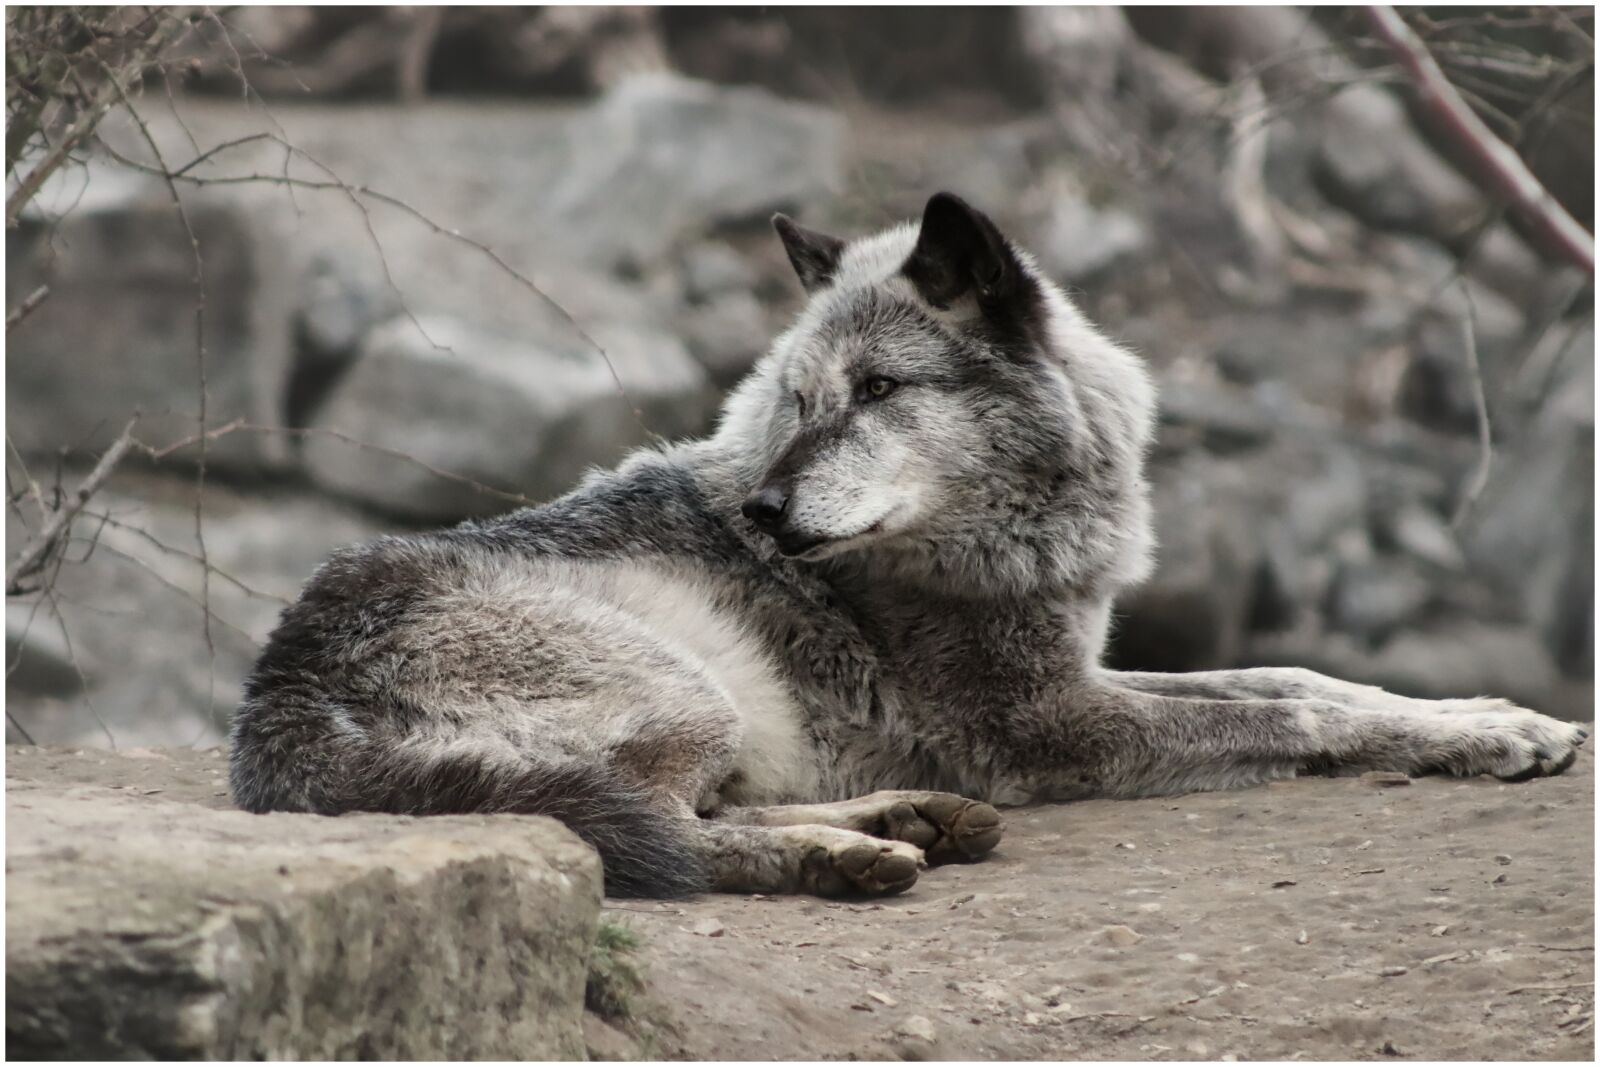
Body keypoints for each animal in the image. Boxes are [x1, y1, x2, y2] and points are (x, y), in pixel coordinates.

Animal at [230, 192, 1588, 898]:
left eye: (879, 389)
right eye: (797, 399)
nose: (764, 515)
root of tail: (275, 700)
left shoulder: (1073, 668)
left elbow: (1300, 672)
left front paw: (1495, 718)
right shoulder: (1041, 721)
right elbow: (1296, 707)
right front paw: (1481, 734)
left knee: (685, 808)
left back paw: (908, 818)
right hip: (684, 685)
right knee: (653, 832)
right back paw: (847, 854)